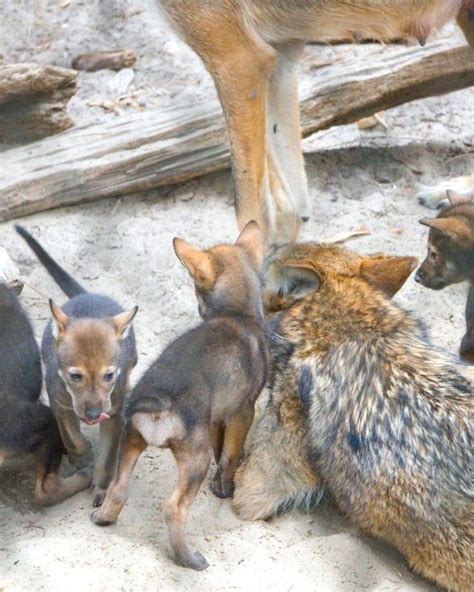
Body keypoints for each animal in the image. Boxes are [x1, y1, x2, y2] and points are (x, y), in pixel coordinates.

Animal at [91, 221, 270, 568]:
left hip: (131, 438)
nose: (200, 309)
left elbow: (222, 447)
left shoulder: (218, 417)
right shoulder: (243, 410)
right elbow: (230, 454)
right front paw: (224, 488)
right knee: (174, 509)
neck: (237, 314)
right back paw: (188, 558)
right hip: (193, 460)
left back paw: (104, 518)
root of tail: (160, 400)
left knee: (119, 489)